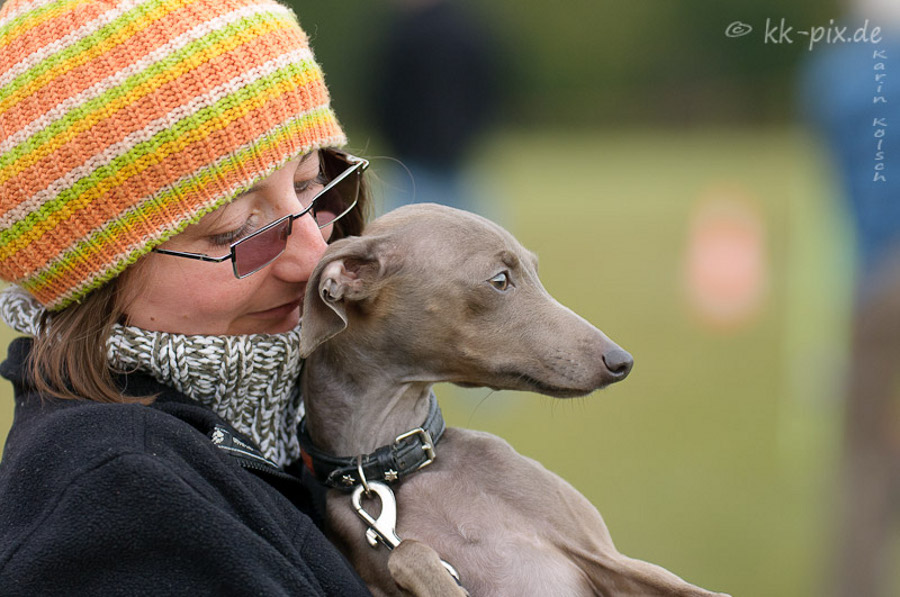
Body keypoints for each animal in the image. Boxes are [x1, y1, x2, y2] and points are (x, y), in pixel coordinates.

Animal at [298, 204, 728, 596]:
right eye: (500, 280)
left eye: (534, 271)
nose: (621, 361)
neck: (397, 468)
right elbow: (408, 552)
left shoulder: (606, 557)